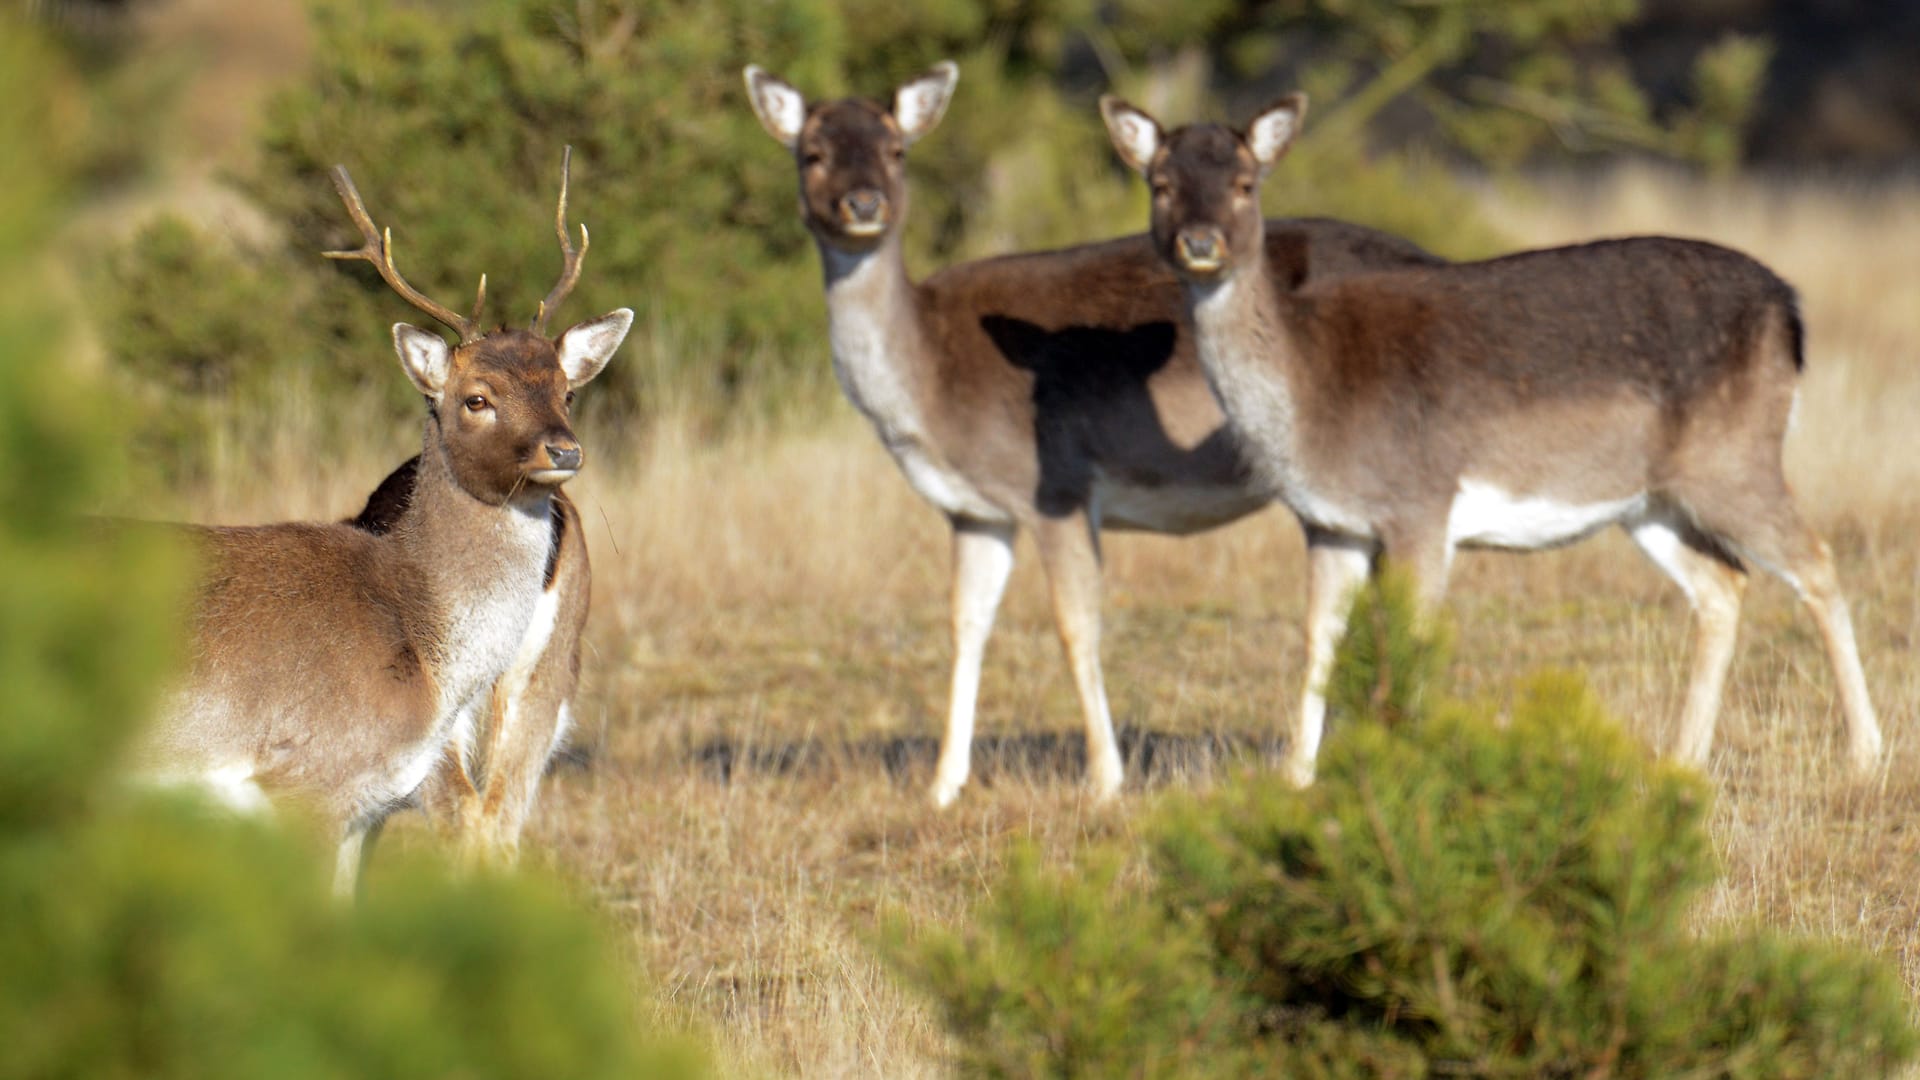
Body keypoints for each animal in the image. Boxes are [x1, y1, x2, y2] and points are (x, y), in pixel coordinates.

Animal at [741, 56, 1443, 799]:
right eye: (811, 153)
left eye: (895, 150)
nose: (865, 204)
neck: (931, 390)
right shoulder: (974, 510)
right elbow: (965, 624)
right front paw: (942, 786)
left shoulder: (1057, 487)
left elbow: (1076, 626)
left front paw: (1106, 780)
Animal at [1105, 92, 1881, 780]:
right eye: (1161, 184)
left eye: (1245, 183)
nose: (1199, 243)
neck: (1312, 395)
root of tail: (1790, 310)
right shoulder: (1330, 524)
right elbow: (1316, 640)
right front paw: (1298, 780)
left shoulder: (1420, 506)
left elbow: (1408, 643)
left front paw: (1405, 769)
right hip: (1650, 501)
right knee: (1724, 583)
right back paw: (1682, 760)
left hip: (1735, 460)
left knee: (1816, 561)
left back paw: (1866, 755)